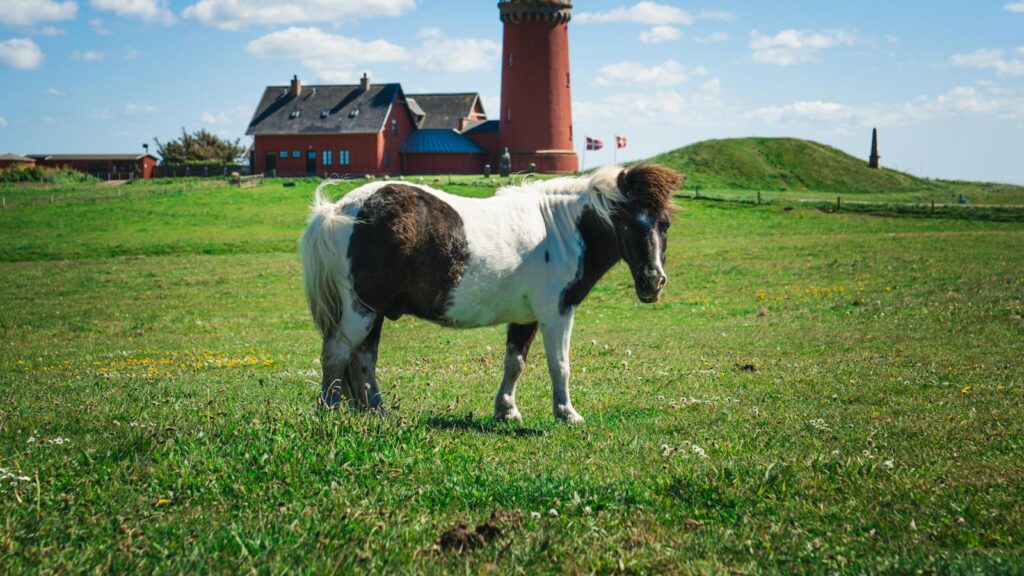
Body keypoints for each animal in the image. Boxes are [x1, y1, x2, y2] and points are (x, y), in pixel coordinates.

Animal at [301, 163, 683, 424]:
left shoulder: (526, 317)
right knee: (336, 353)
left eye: (664, 224)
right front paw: (567, 413)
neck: (560, 229)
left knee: (364, 359)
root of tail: (339, 211)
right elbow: (560, 365)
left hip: (374, 311)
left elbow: (515, 362)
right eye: (625, 223)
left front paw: (506, 410)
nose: (652, 282)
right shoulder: (557, 313)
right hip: (362, 309)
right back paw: (330, 408)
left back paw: (379, 411)